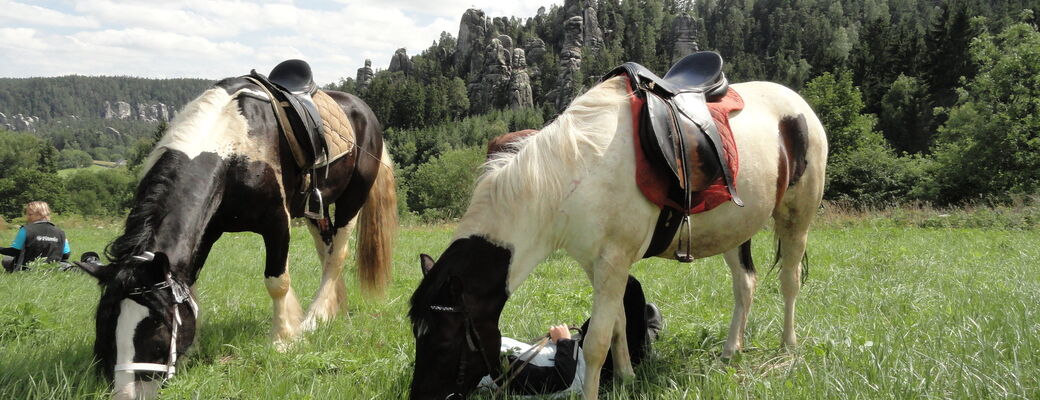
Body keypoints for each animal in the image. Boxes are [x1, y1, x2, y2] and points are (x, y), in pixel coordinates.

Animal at [74, 73, 397, 394]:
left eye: (158, 325)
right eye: (105, 324)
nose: (125, 393)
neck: (231, 144)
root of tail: (362, 109)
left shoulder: (277, 222)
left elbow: (277, 282)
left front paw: (283, 340)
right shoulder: (208, 231)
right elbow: (191, 284)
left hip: (352, 200)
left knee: (337, 253)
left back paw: (315, 318)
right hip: (314, 209)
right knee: (326, 251)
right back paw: (334, 308)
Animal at [409, 75, 823, 398]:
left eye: (442, 341)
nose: (421, 397)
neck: (573, 176)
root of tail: (798, 105)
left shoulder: (613, 260)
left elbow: (595, 343)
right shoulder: (597, 263)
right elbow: (620, 322)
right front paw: (626, 377)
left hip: (796, 218)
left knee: (789, 281)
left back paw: (787, 347)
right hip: (736, 230)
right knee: (745, 284)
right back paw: (729, 352)